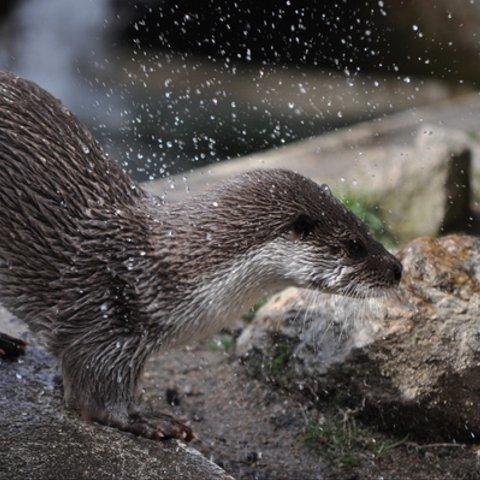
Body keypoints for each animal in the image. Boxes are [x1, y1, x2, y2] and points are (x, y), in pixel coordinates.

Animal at [0, 71, 402, 442]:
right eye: (354, 246)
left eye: (367, 230)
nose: (397, 268)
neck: (151, 268)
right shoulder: (102, 320)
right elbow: (93, 400)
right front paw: (148, 420)